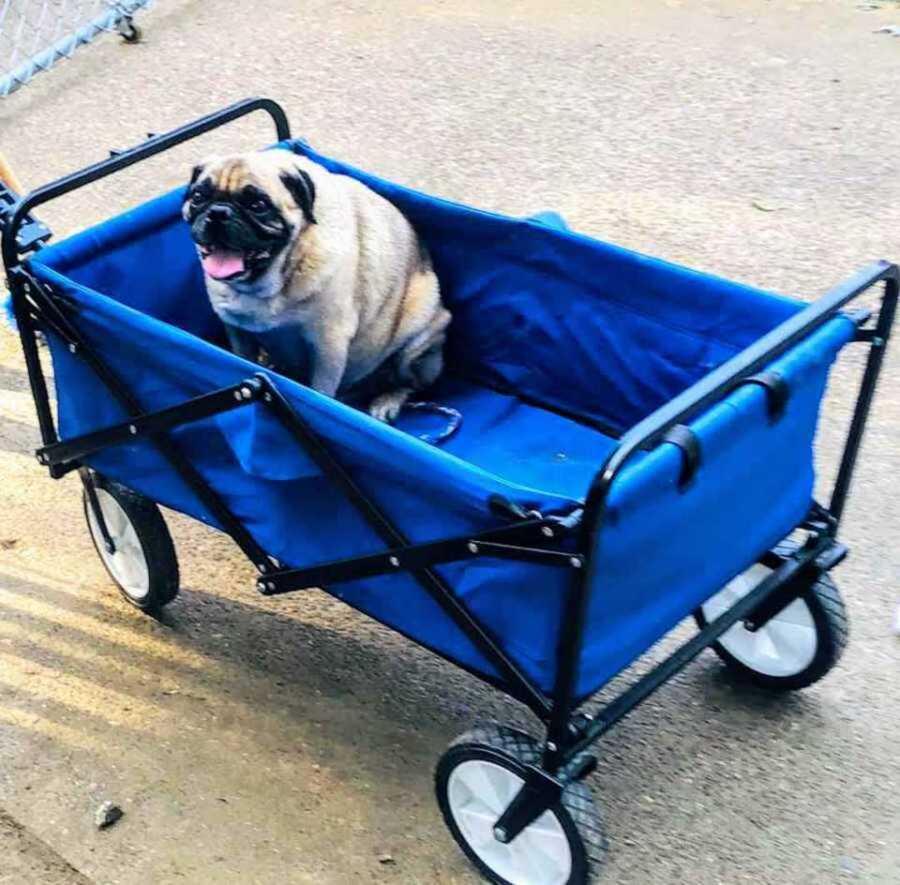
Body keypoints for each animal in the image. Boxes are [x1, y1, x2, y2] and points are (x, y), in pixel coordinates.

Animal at [183, 148, 450, 422]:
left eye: (258, 206)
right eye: (198, 197)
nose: (218, 212)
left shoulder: (328, 346)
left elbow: (320, 390)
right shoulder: (237, 331)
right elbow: (241, 357)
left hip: (415, 340)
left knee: (410, 384)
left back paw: (386, 401)